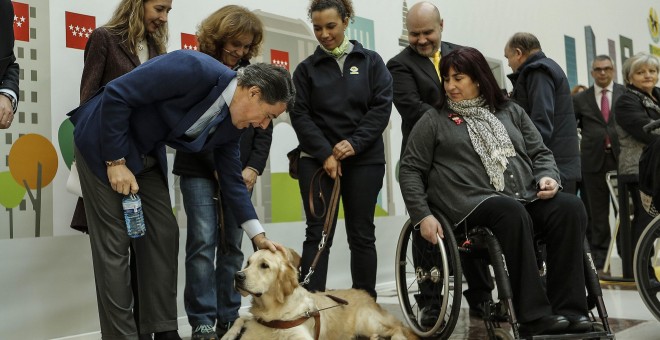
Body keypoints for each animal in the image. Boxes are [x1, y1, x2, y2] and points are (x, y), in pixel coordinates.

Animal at [222, 247, 418, 340]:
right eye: (248, 263)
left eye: (264, 265)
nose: (237, 276)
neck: (272, 312)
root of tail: (365, 294)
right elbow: (241, 318)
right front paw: (228, 334)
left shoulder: (301, 337)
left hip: (367, 321)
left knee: (399, 328)